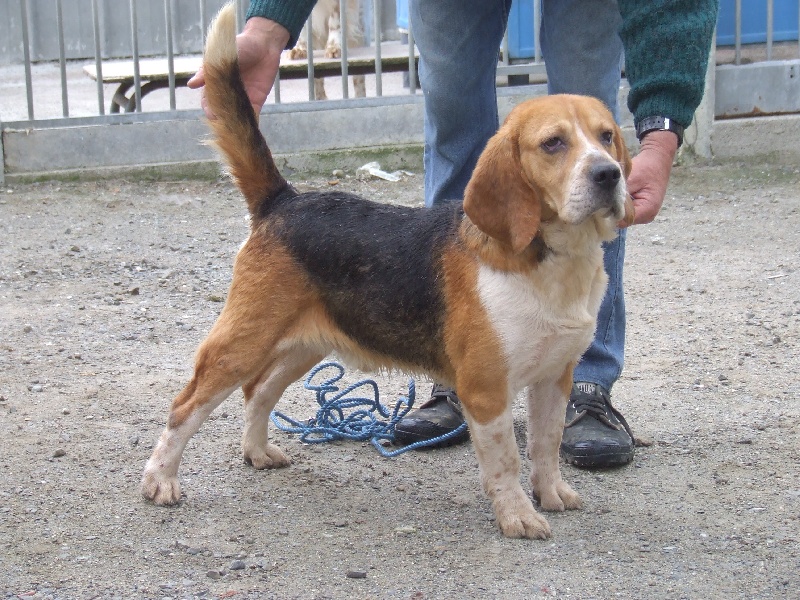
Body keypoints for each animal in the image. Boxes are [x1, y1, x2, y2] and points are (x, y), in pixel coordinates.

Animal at [142, 3, 632, 540]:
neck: (555, 258)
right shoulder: (486, 390)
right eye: (553, 144)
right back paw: (161, 480)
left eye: (607, 135)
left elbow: (546, 445)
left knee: (258, 392)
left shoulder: (554, 378)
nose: (609, 174)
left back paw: (256, 451)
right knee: (184, 408)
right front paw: (518, 515)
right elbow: (506, 462)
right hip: (241, 344)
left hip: (303, 345)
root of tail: (283, 200)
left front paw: (552, 493)